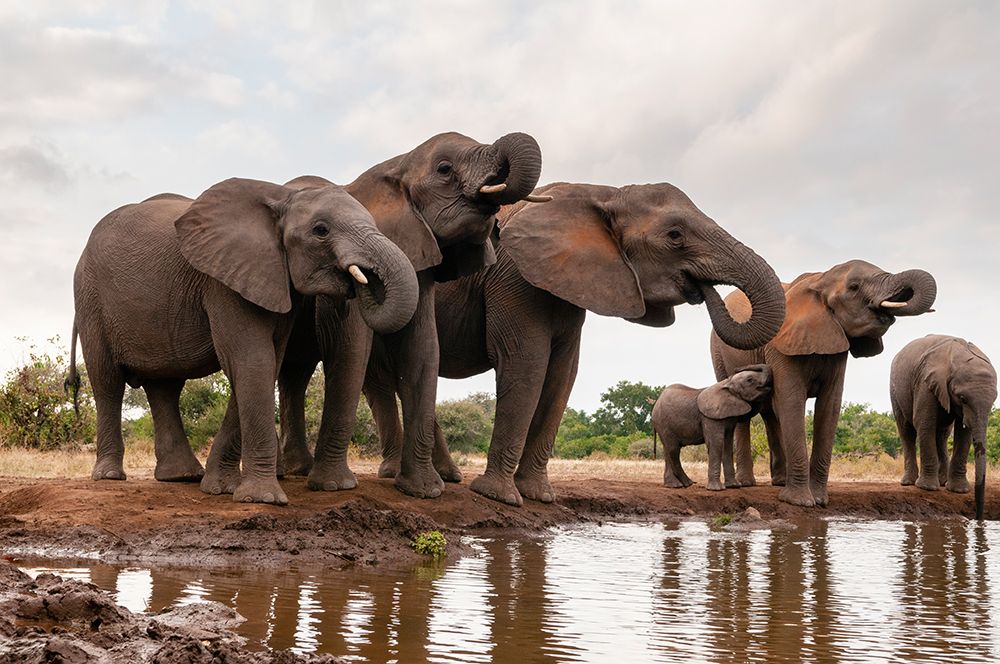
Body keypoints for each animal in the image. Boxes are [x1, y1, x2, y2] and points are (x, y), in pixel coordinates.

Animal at [68, 177, 419, 505]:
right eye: (321, 230)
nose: (362, 281)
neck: (281, 199)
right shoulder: (224, 280)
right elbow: (251, 358)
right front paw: (263, 499)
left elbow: (264, 362)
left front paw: (222, 489)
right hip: (89, 299)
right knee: (107, 383)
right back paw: (110, 476)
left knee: (164, 387)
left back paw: (182, 476)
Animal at [269, 131, 544, 499]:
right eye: (444, 169)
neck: (396, 164)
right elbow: (349, 345)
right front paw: (333, 486)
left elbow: (422, 348)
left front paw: (423, 491)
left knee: (295, 373)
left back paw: (297, 468)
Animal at [366, 181, 788, 506]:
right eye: (675, 236)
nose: (704, 290)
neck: (603, 194)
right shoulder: (514, 276)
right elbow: (527, 364)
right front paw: (499, 496)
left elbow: (562, 375)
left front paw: (539, 496)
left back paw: (446, 476)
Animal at [711, 260, 937, 507]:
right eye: (854, 287)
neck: (820, 280)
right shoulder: (781, 344)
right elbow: (792, 401)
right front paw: (800, 502)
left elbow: (829, 406)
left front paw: (819, 500)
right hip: (718, 351)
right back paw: (746, 483)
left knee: (771, 414)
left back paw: (779, 481)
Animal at [889, 334, 997, 519]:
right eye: (962, 398)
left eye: (994, 400)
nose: (978, 518)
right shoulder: (925, 382)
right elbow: (924, 423)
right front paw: (927, 488)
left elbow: (964, 433)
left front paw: (958, 491)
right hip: (895, 390)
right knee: (906, 430)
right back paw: (909, 483)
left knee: (942, 434)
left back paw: (942, 482)